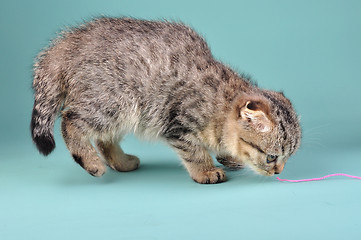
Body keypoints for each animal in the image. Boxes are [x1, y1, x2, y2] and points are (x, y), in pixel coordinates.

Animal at [31, 17, 300, 184]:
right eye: (272, 157)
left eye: (288, 157)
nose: (279, 171)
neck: (220, 104)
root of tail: (66, 45)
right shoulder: (179, 123)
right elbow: (193, 151)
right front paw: (206, 170)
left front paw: (229, 158)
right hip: (113, 101)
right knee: (70, 120)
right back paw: (90, 161)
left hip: (122, 109)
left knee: (104, 139)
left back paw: (121, 162)